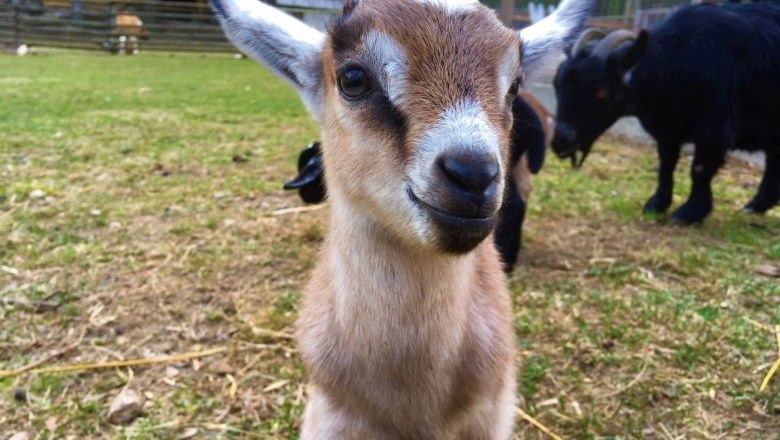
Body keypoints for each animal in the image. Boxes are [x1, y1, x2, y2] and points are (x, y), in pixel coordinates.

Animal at [552, 1, 776, 223]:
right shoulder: (667, 131)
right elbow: (666, 165)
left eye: (601, 92)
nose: (560, 142)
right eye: (557, 84)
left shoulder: (714, 129)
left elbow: (700, 169)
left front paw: (689, 213)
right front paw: (656, 204)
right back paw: (755, 206)